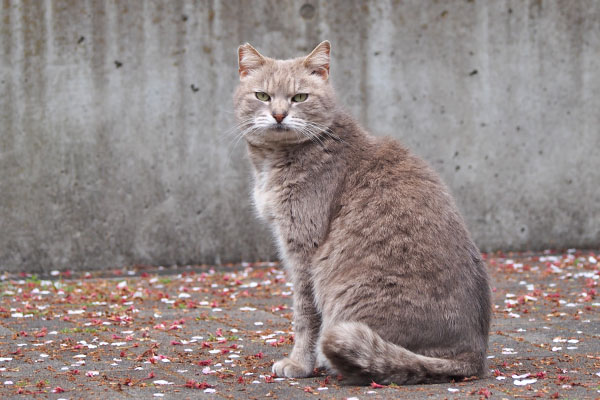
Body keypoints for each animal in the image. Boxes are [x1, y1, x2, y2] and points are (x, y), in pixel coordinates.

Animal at [232, 39, 490, 384]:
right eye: (262, 96)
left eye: (300, 97)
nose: (278, 115)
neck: (275, 161)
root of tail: (474, 355)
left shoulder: (303, 248)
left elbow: (305, 314)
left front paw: (299, 364)